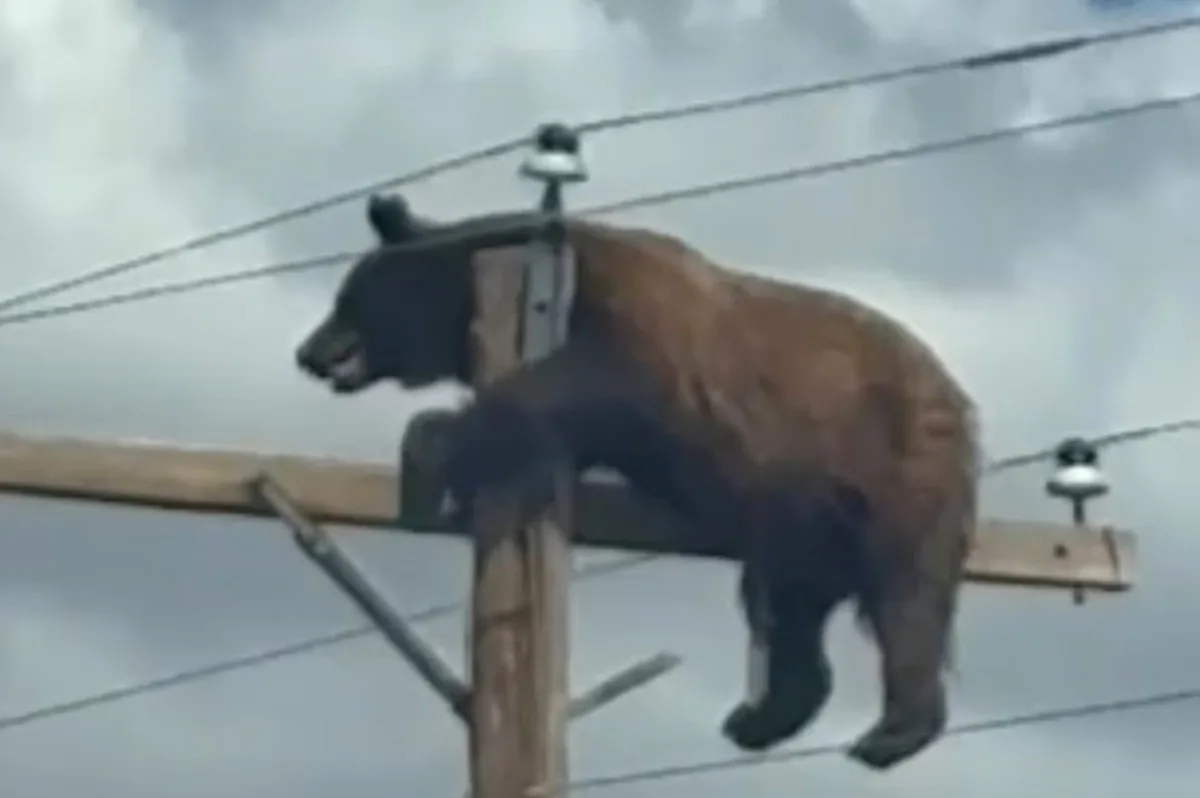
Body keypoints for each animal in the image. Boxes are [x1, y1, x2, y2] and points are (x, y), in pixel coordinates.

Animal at [295, 192, 980, 771]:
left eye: (347, 297)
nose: (308, 352)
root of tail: (957, 397)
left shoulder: (639, 327)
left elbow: (594, 380)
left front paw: (429, 446)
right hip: (799, 516)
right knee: (788, 607)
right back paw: (760, 717)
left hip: (891, 465)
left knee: (906, 594)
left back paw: (891, 732)